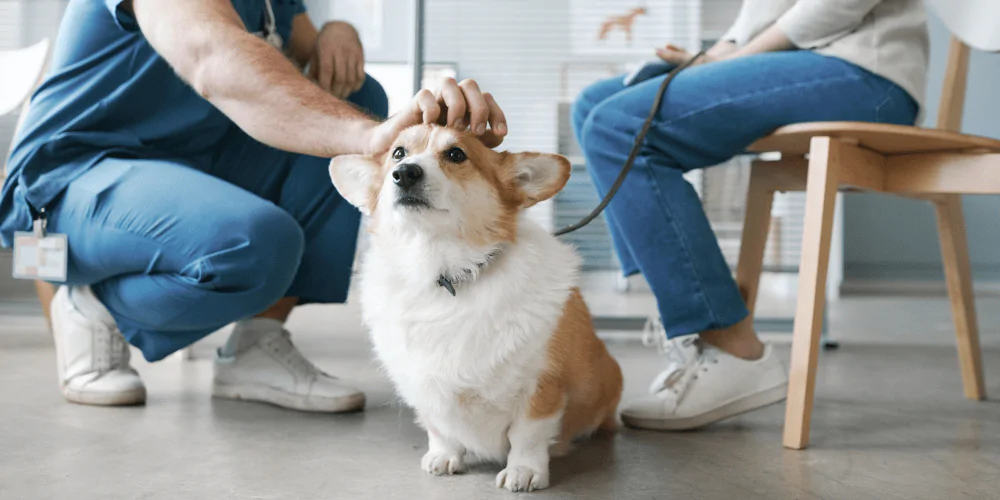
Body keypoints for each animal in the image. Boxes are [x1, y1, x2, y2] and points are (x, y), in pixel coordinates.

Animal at [332, 124, 620, 492]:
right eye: (398, 153)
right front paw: (443, 456)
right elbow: (439, 428)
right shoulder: (423, 386)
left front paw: (523, 471)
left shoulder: (542, 385)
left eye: (456, 154)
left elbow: (528, 434)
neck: (443, 272)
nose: (405, 173)